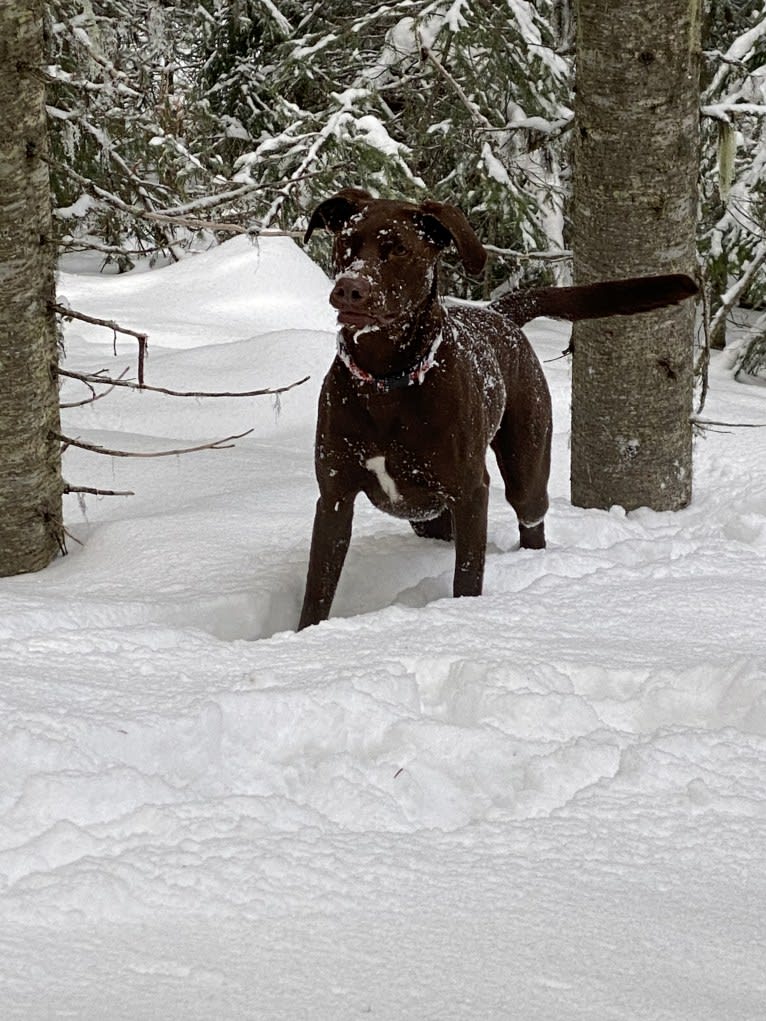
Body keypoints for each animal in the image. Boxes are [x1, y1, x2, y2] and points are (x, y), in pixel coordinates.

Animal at [300, 187, 702, 624]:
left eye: (399, 249)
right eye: (345, 243)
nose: (350, 288)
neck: (386, 383)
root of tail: (499, 314)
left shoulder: (470, 491)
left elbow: (467, 574)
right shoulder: (334, 497)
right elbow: (317, 588)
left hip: (526, 464)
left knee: (532, 520)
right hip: (425, 512)